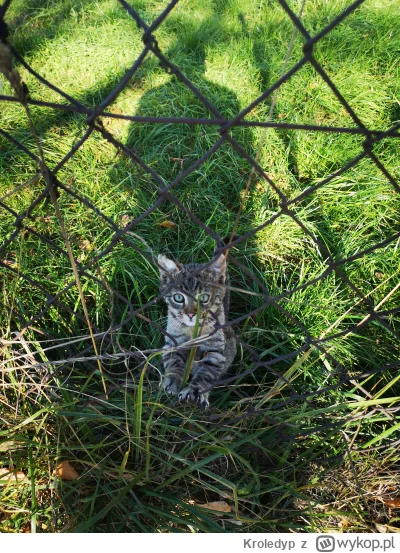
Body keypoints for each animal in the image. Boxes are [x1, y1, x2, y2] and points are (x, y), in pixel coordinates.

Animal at [158, 249, 236, 406]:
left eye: (204, 298)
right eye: (178, 298)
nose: (190, 314)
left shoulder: (215, 350)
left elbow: (207, 373)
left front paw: (195, 391)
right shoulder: (173, 342)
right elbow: (174, 361)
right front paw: (172, 380)